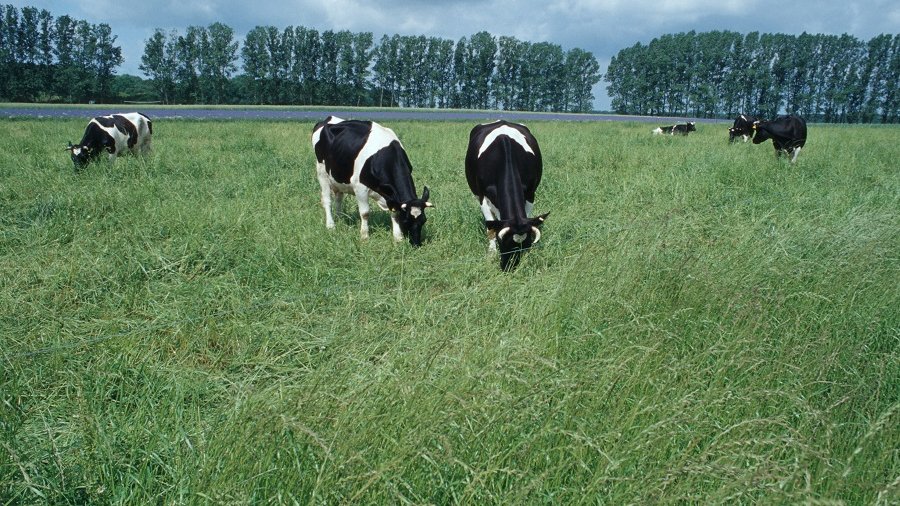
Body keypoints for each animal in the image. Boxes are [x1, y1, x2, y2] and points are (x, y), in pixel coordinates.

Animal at [312, 116, 432, 247]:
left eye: (424, 220)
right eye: (406, 220)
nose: (416, 244)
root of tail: (329, 118)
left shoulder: (392, 196)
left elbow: (394, 213)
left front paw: (398, 237)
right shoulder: (360, 187)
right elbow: (365, 213)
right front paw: (364, 237)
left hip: (337, 177)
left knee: (338, 198)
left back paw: (339, 219)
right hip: (321, 171)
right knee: (327, 200)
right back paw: (331, 225)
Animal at [465, 120, 548, 271]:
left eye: (525, 244)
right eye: (501, 242)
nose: (509, 268)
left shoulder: (530, 194)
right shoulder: (482, 197)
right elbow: (490, 229)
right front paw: (491, 253)